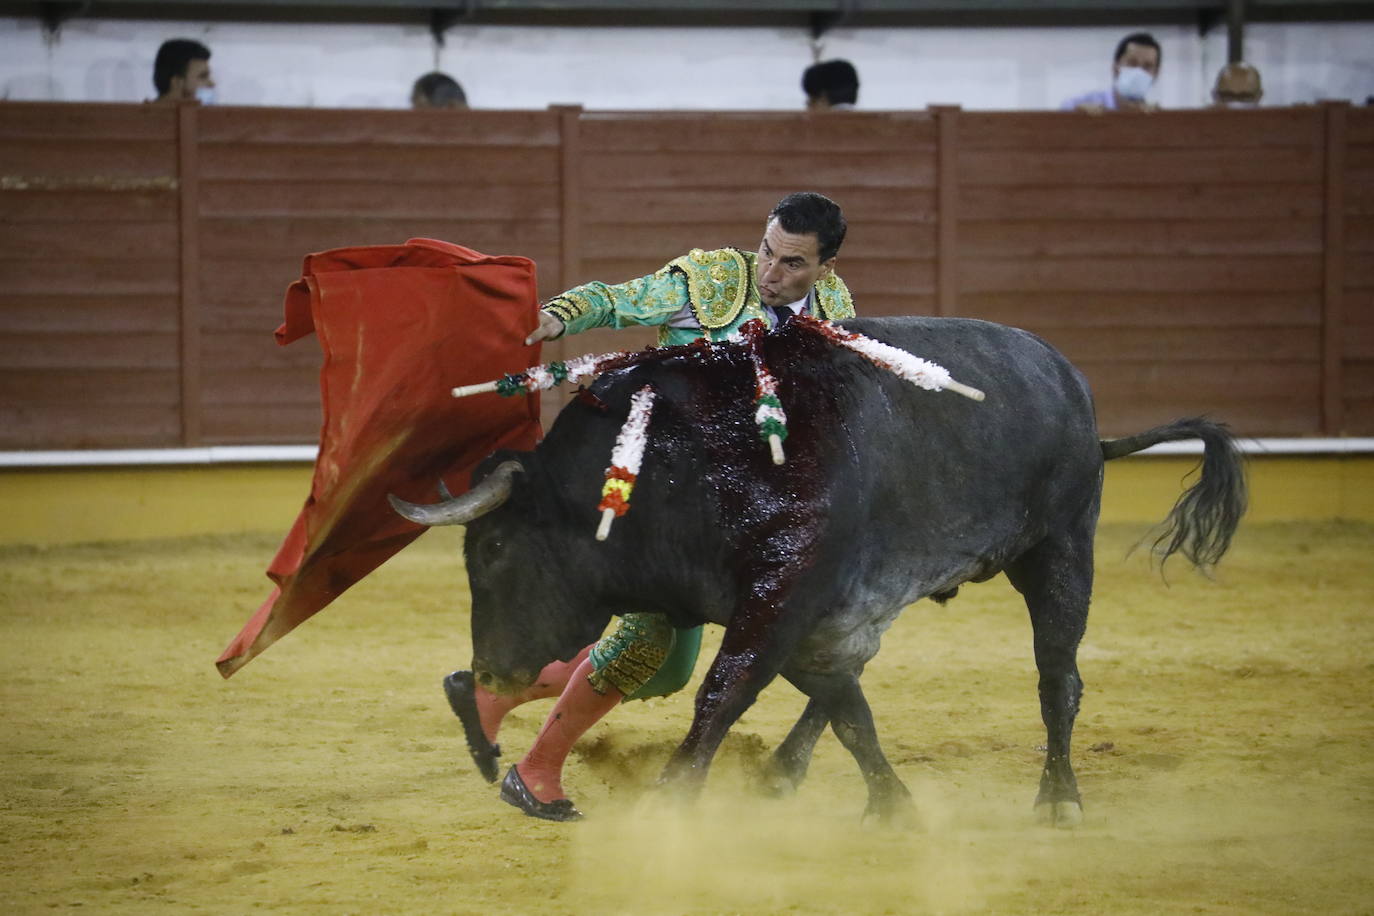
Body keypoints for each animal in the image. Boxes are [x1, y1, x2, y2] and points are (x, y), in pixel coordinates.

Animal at [390, 318, 1247, 829]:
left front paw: (670, 806)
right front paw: (892, 804)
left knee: (1057, 676)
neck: (683, 461)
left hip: (1061, 548)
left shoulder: (785, 597)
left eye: (493, 550)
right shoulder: (802, 609)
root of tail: (1070, 384)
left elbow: (726, 692)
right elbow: (845, 709)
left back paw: (1060, 798)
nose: (488, 669)